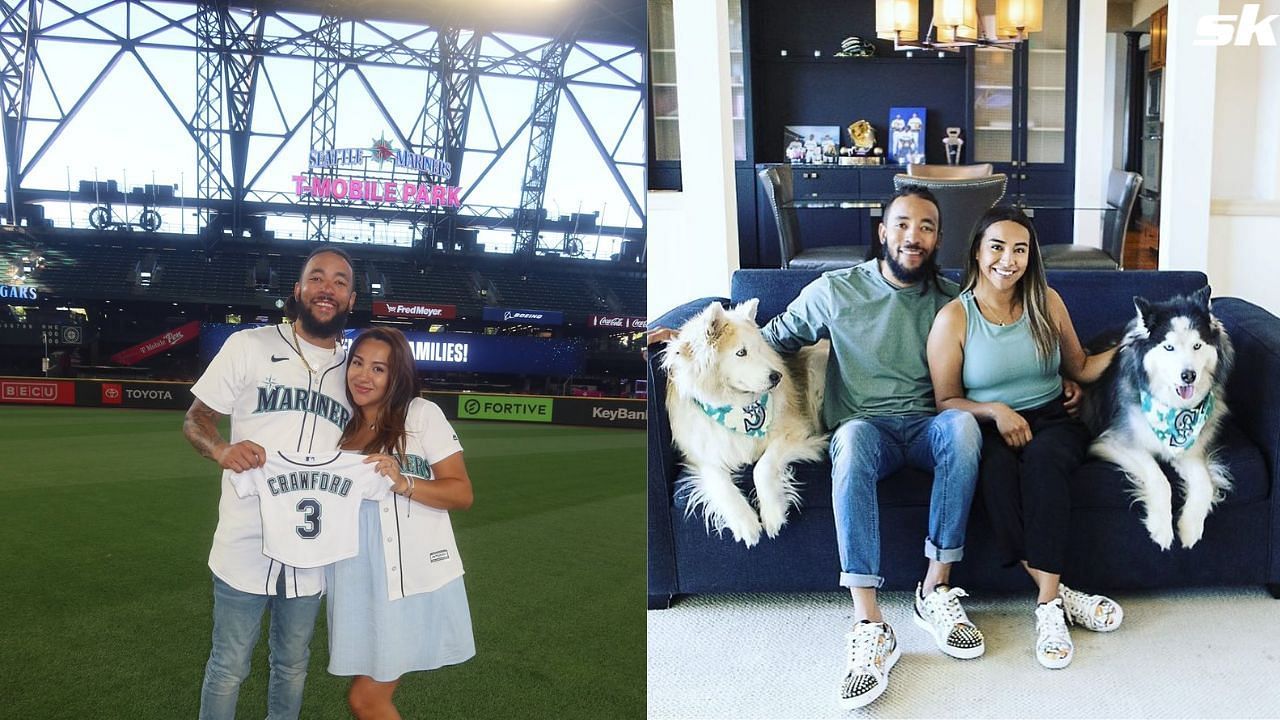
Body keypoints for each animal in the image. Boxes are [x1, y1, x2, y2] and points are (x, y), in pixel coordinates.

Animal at [660, 297, 829, 543]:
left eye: (759, 349)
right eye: (741, 353)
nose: (777, 377)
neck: (736, 406)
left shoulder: (795, 430)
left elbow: (762, 467)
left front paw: (772, 513)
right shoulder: (702, 456)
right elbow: (721, 484)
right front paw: (745, 521)